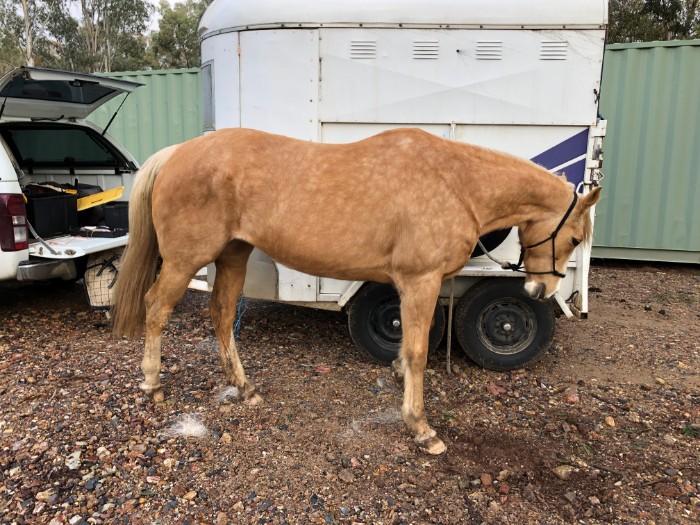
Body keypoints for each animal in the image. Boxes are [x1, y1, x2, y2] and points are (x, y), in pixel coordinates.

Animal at [112, 127, 600, 455]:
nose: (540, 290)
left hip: (233, 255)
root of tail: (177, 153)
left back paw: (244, 387)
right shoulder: (421, 280)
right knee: (156, 309)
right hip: (184, 260)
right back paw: (153, 384)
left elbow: (408, 347)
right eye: (576, 238)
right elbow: (418, 351)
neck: (455, 182)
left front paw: (398, 376)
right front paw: (421, 428)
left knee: (221, 313)